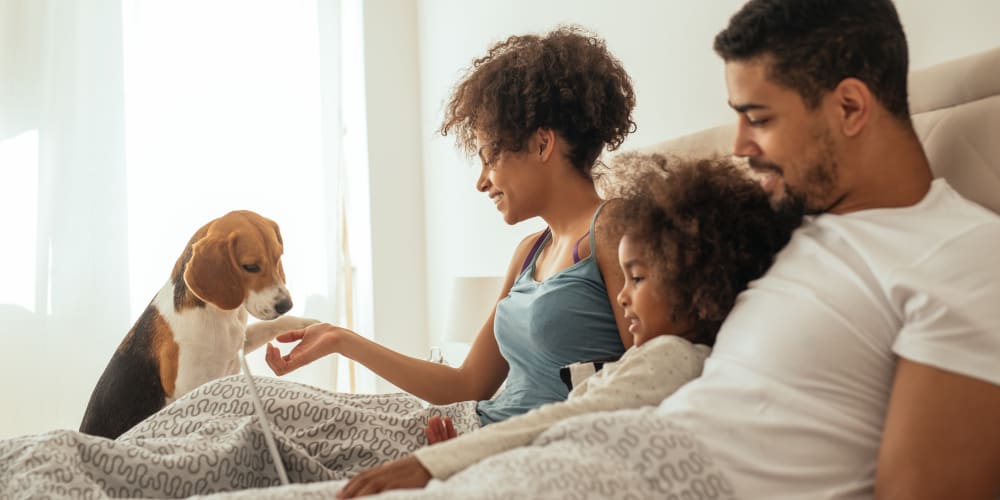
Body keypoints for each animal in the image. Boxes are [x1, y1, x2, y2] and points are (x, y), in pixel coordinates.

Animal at [82, 210, 316, 438]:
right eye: (250, 267)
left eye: (278, 258)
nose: (286, 304)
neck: (221, 314)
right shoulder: (190, 386)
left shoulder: (238, 344)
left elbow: (273, 325)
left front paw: (308, 324)